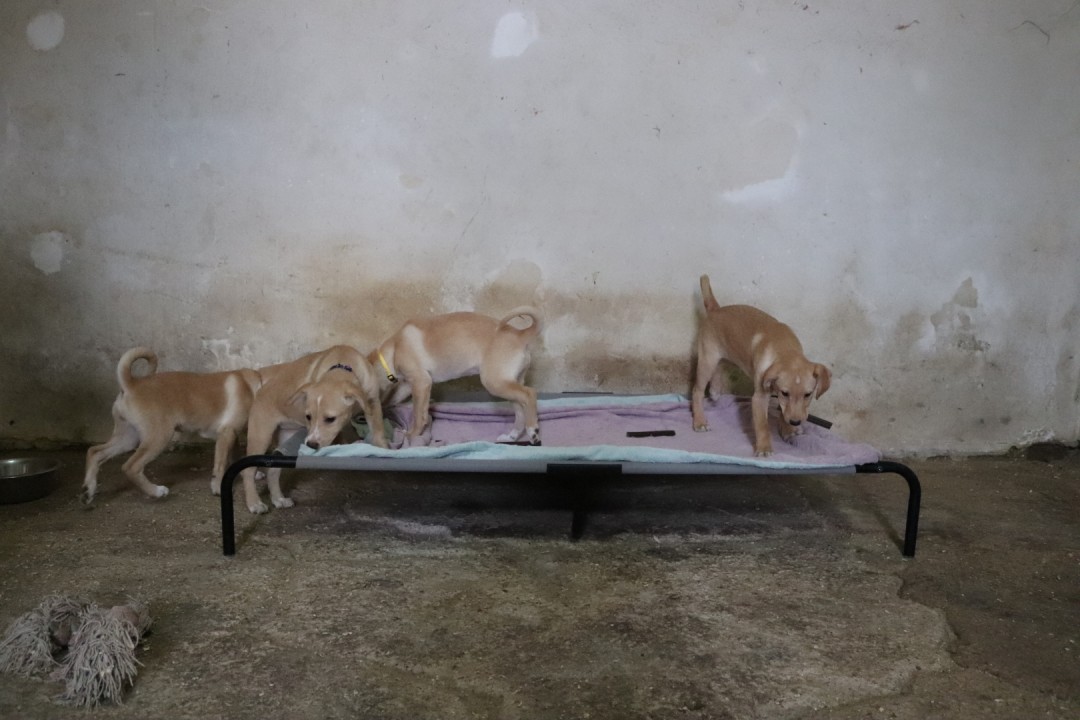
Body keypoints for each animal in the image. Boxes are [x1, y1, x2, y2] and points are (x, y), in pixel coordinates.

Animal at [82, 347, 262, 503]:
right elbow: (220, 465)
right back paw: (155, 491)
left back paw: (88, 489)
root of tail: (131, 384)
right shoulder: (226, 433)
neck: (254, 386)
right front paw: (217, 487)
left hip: (128, 438)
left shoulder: (232, 435)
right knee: (130, 467)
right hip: (159, 437)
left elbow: (237, 457)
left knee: (95, 452)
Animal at [239, 344, 386, 514]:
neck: (342, 363)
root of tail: (260, 392)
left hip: (285, 437)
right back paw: (254, 503)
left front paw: (383, 448)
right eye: (308, 417)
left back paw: (278, 499)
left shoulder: (373, 402)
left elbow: (377, 430)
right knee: (247, 471)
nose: (311, 445)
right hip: (261, 436)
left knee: (273, 471)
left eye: (330, 419)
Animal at [368, 307, 543, 446]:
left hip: (495, 383)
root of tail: (520, 334)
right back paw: (512, 436)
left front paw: (412, 434)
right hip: (508, 383)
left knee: (529, 394)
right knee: (521, 408)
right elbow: (398, 401)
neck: (394, 349)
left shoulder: (421, 382)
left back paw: (532, 431)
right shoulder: (408, 385)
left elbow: (418, 415)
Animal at [691, 275, 831, 456]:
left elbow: (782, 411)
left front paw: (787, 430)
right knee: (697, 391)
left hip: (723, 355)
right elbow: (763, 425)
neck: (785, 349)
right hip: (707, 360)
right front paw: (764, 448)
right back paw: (699, 421)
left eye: (808, 394)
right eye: (785, 393)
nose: (795, 422)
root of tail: (715, 309)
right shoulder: (759, 397)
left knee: (719, 368)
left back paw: (715, 390)